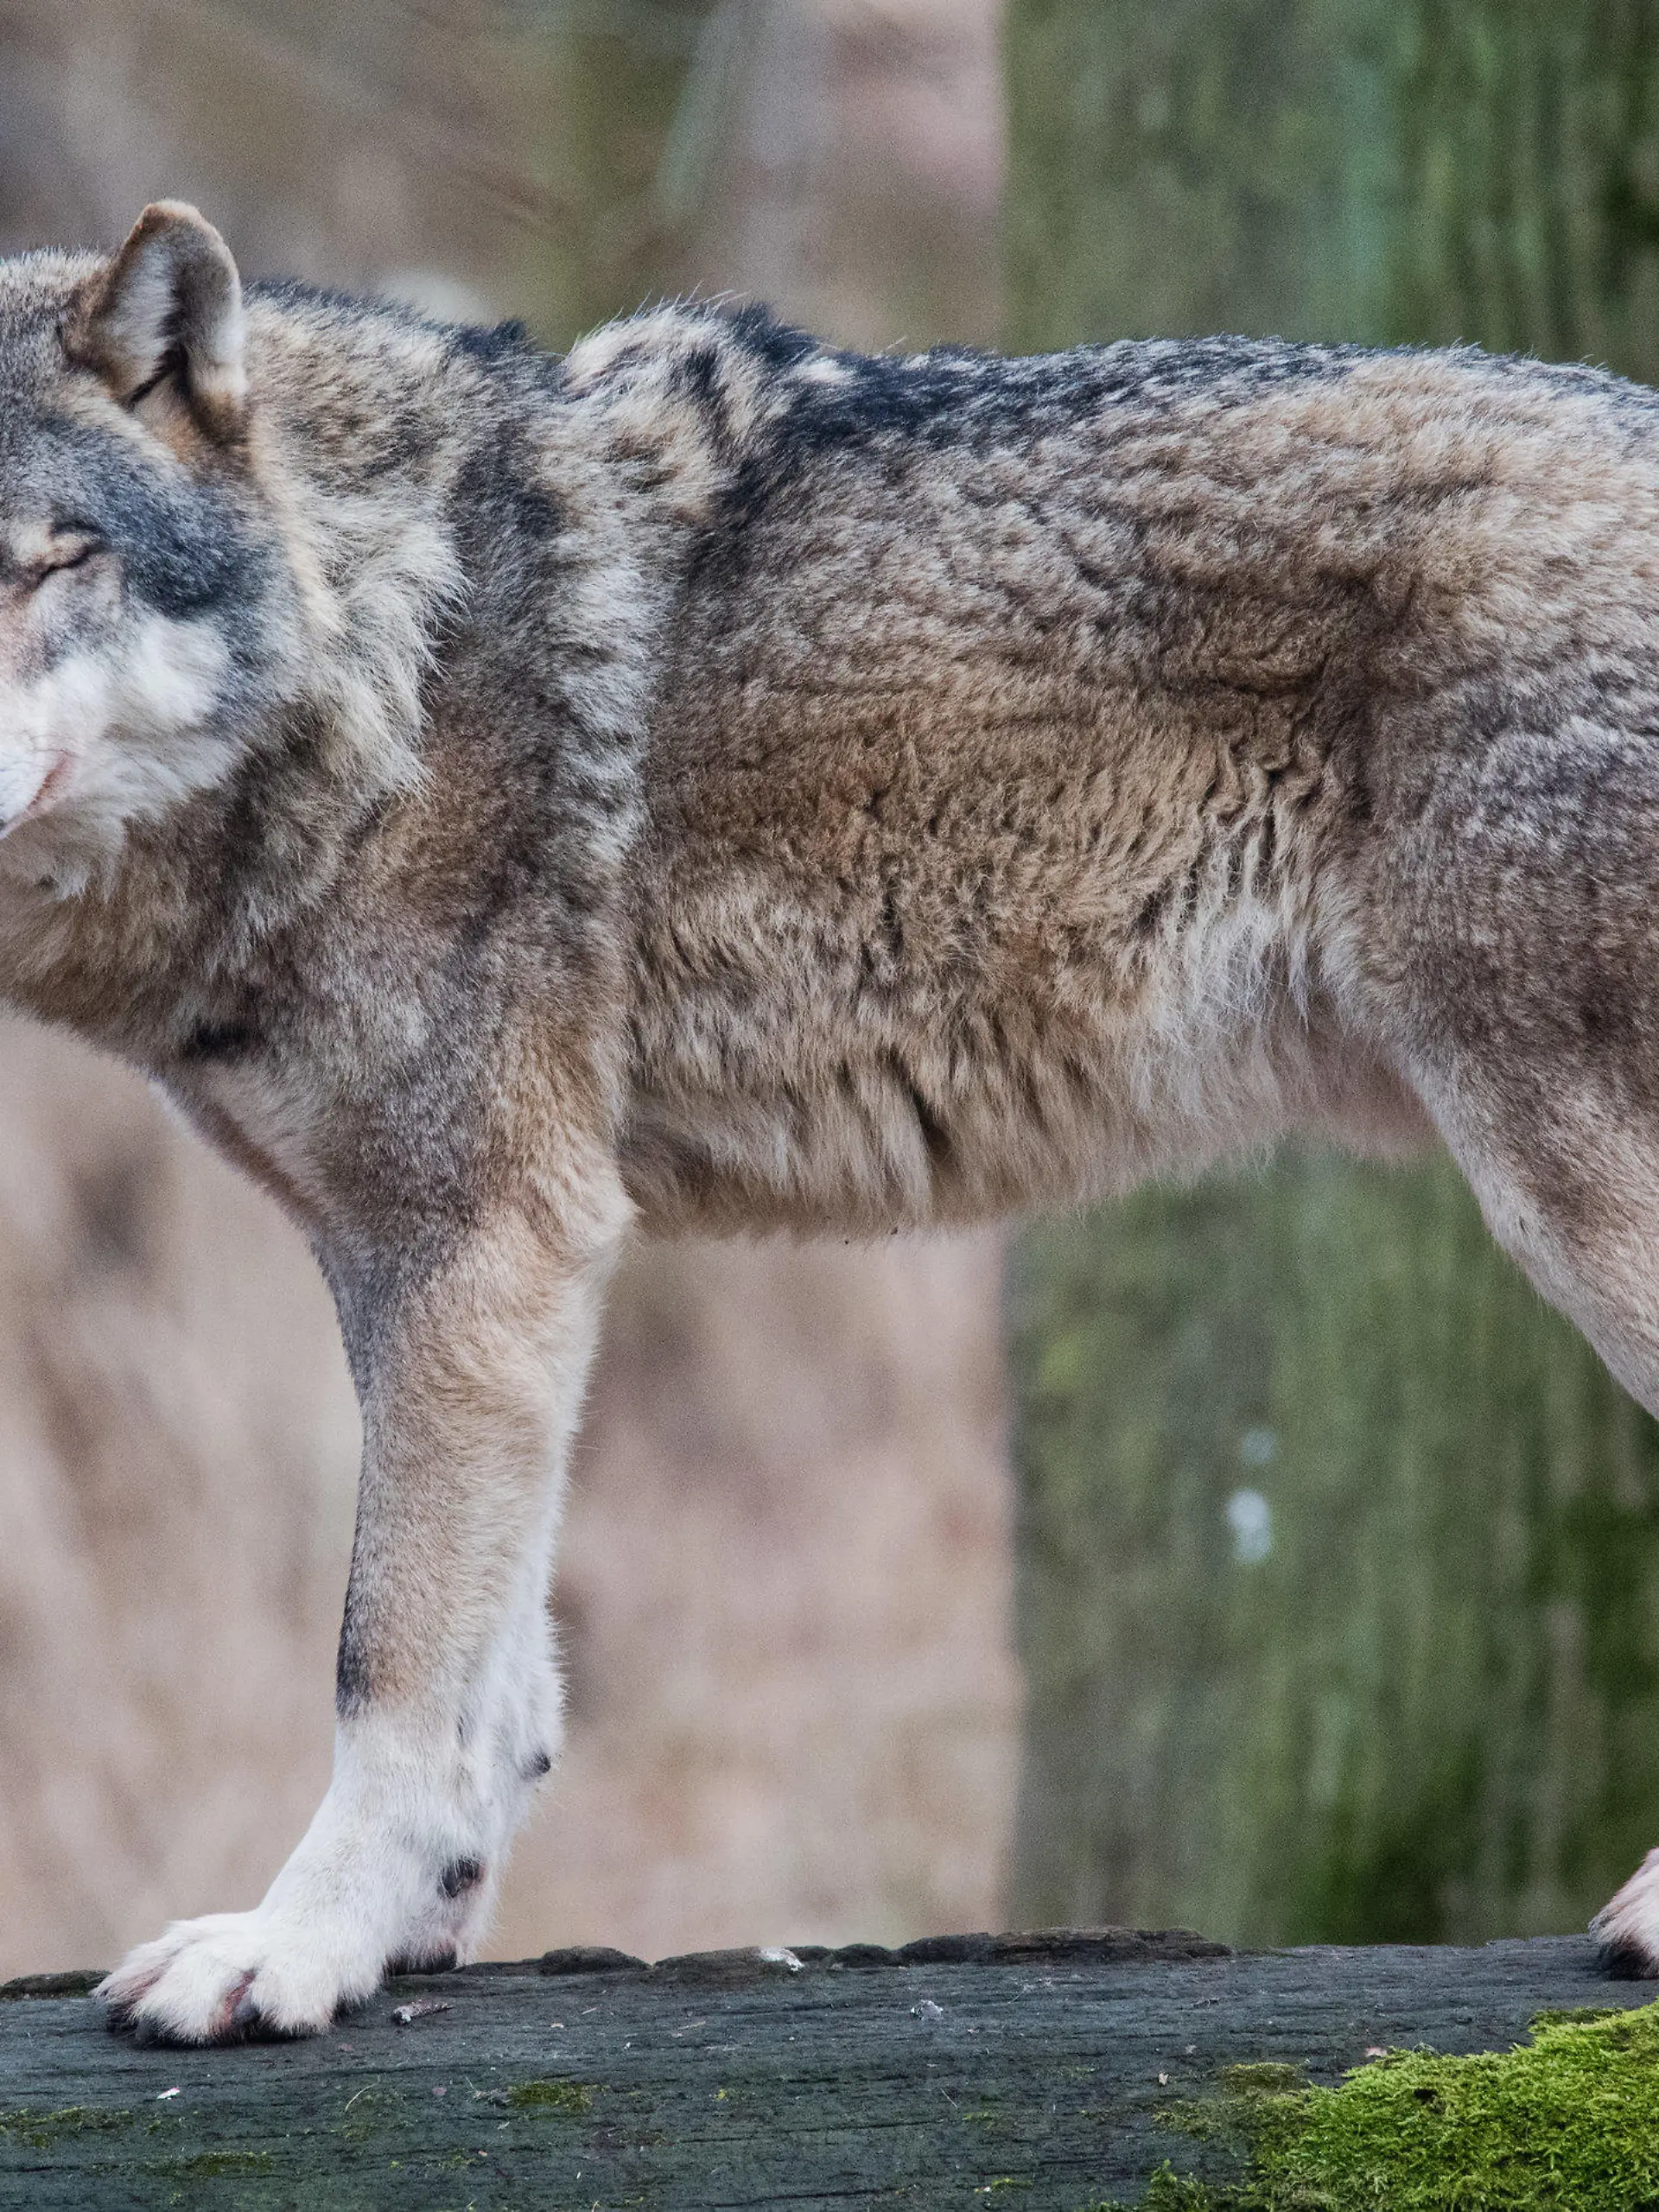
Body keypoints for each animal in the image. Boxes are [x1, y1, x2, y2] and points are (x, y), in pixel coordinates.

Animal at [1, 199, 1657, 2040]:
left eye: (40, 565)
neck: (384, 652)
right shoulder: (444, 1266)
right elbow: (502, 1679)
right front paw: (416, 1924)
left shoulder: (482, 1238)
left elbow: (389, 1656)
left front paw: (296, 1951)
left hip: (1569, 1193)